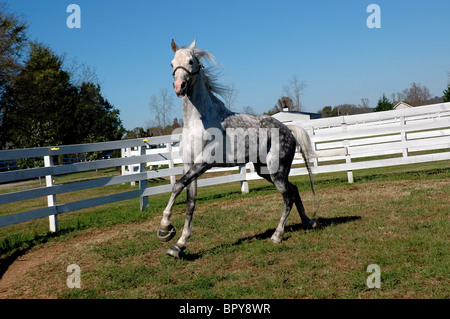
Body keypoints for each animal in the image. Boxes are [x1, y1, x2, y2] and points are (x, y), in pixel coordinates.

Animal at [157, 39, 316, 260]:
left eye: (190, 61)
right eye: (172, 64)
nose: (179, 86)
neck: (198, 122)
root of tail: (289, 130)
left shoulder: (203, 163)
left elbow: (177, 186)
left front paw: (165, 228)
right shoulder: (189, 166)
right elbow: (190, 202)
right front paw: (179, 244)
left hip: (276, 171)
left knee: (287, 198)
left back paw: (277, 235)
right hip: (265, 171)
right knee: (294, 190)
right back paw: (307, 221)